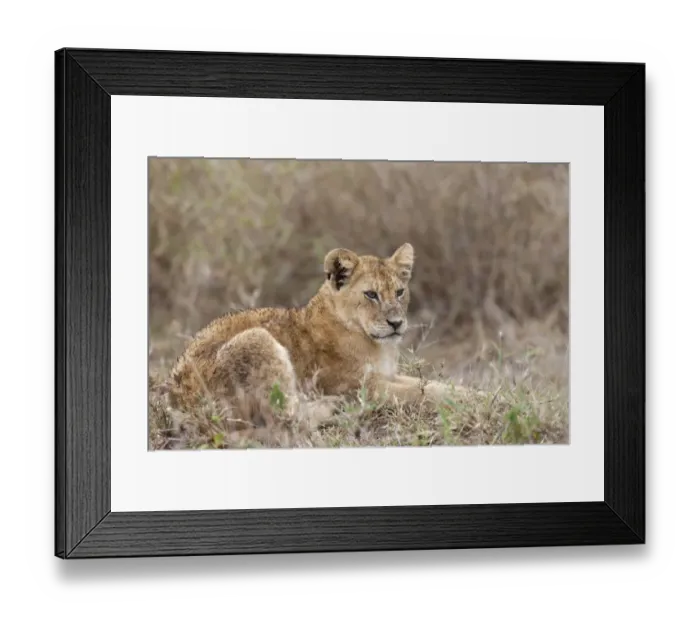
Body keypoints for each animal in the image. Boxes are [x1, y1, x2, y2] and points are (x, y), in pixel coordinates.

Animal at [165, 243, 466, 424]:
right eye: (371, 294)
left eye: (400, 292)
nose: (396, 323)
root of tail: (178, 401)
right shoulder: (359, 386)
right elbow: (419, 393)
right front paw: (464, 400)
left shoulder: (385, 375)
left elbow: (429, 384)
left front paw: (469, 392)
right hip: (257, 339)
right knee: (285, 415)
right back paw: (333, 407)